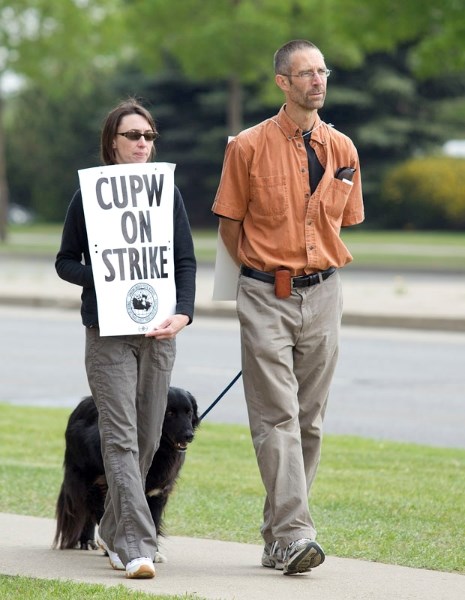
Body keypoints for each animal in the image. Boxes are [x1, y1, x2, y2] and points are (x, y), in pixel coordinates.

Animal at [53, 386, 198, 552]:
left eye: (189, 412)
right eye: (170, 413)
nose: (189, 435)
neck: (159, 451)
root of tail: (80, 405)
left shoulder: (158, 493)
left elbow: (153, 523)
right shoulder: (107, 485)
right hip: (84, 476)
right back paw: (87, 541)